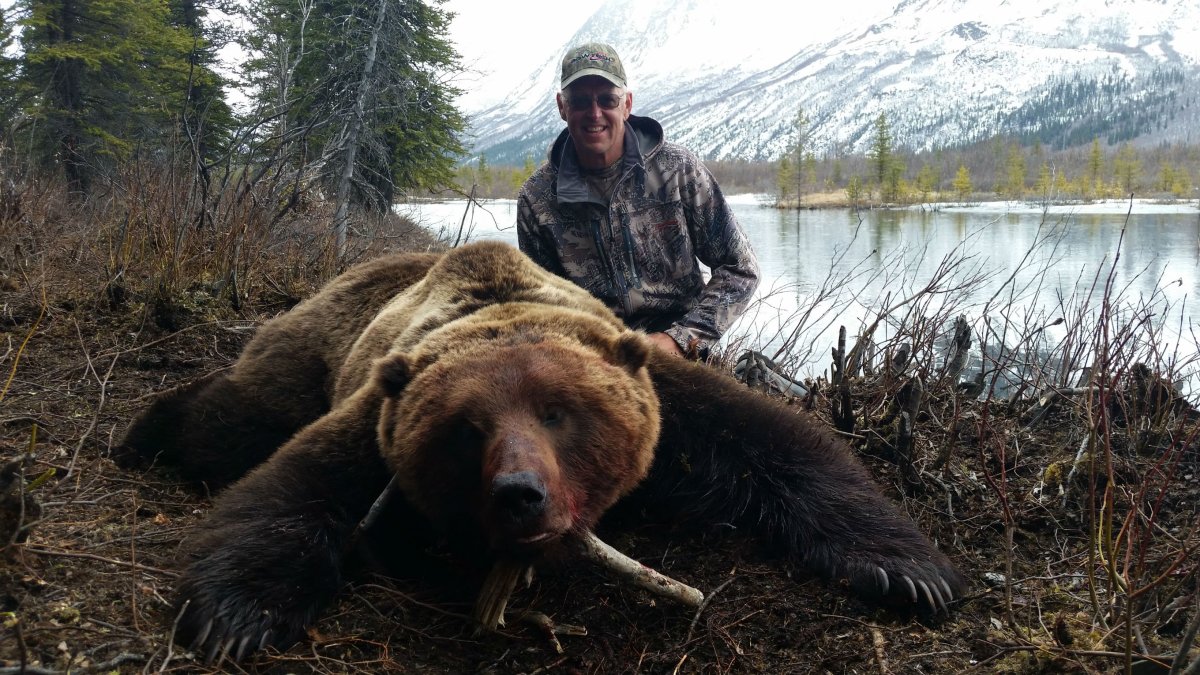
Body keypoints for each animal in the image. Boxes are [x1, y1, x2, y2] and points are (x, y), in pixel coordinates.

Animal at [117, 240, 966, 664]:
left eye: (560, 413)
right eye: (465, 428)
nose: (519, 493)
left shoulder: (675, 405)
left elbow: (785, 447)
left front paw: (907, 570)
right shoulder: (379, 412)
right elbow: (293, 484)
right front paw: (236, 613)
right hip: (310, 349)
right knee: (233, 418)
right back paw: (141, 431)